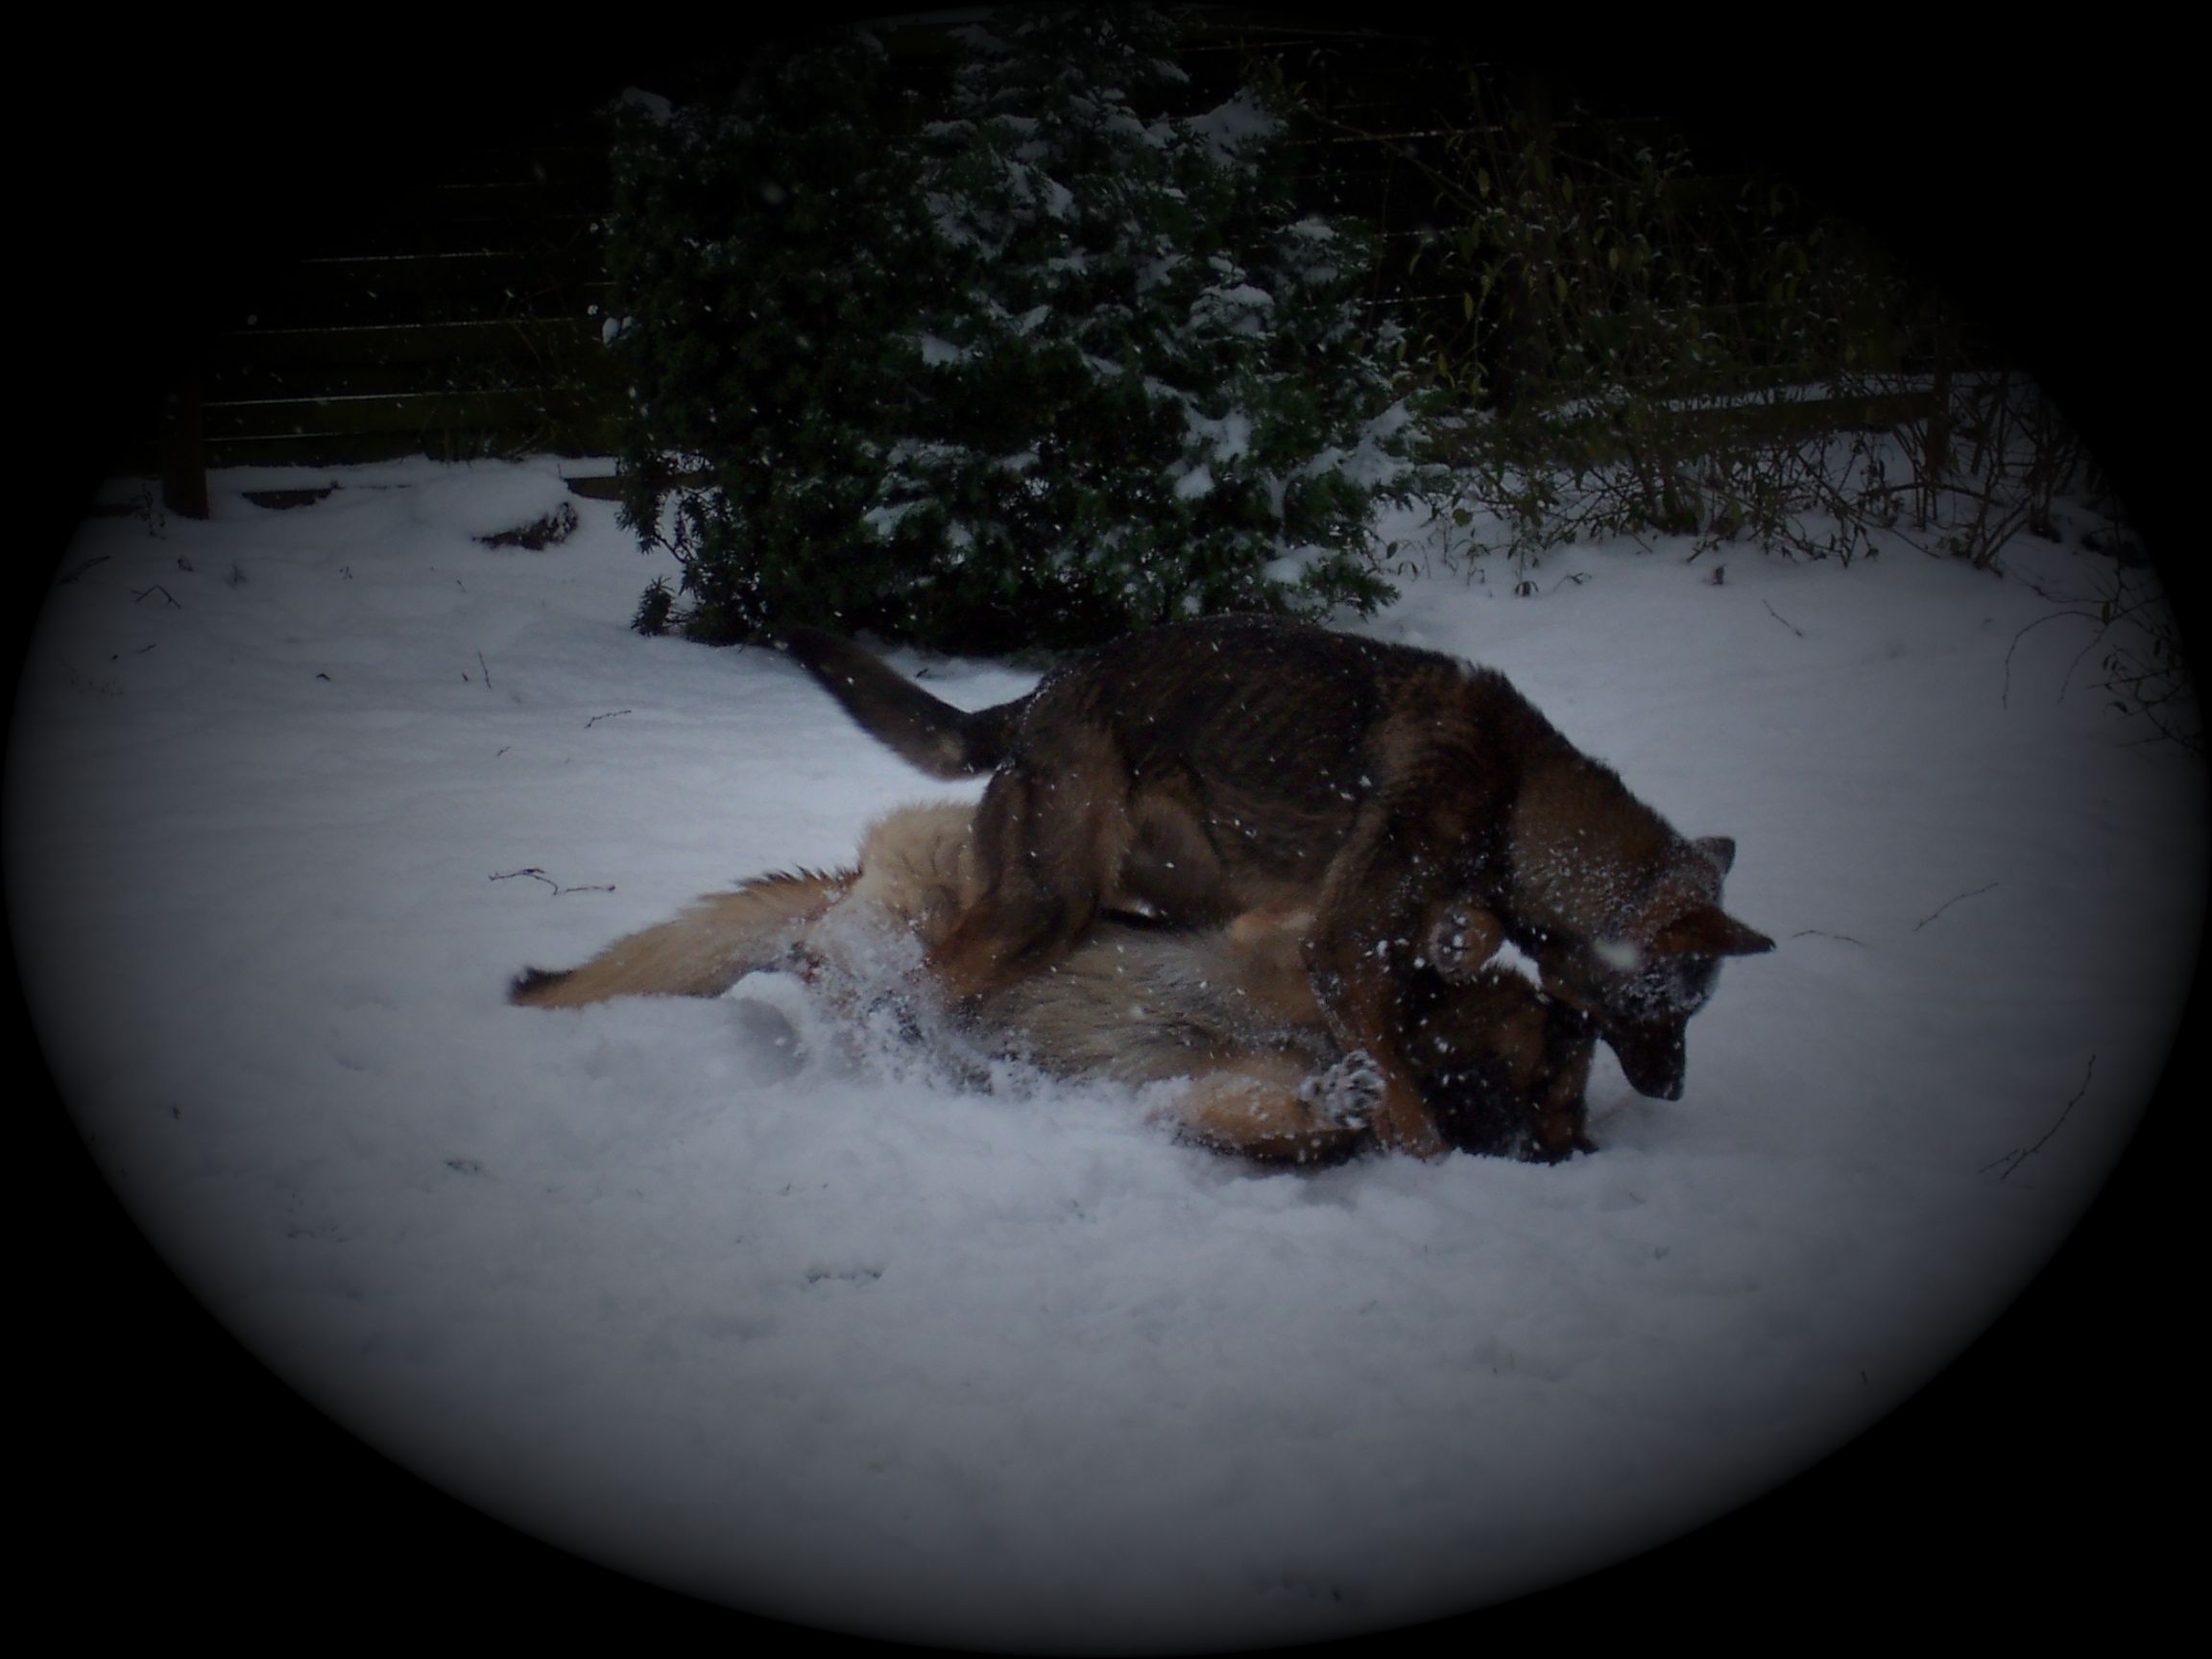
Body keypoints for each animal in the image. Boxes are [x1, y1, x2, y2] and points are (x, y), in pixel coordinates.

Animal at [511, 801, 1601, 1159]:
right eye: (1561, 1072)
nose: (1565, 1150)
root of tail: (840, 896)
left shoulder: (1191, 1100)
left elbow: (1273, 1111)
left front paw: (1337, 1096)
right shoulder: (1274, 946)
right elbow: (1340, 935)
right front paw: (1454, 932)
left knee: (872, 988)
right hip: (953, 861)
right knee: (904, 937)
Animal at [787, 610, 1769, 1159]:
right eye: (1673, 1007)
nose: (1673, 1093)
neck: (1518, 800)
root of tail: (1037, 696)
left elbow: (1464, 937)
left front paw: (1462, 936)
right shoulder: (1340, 950)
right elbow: (1411, 1110)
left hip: (1173, 891)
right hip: (1046, 906)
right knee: (921, 987)